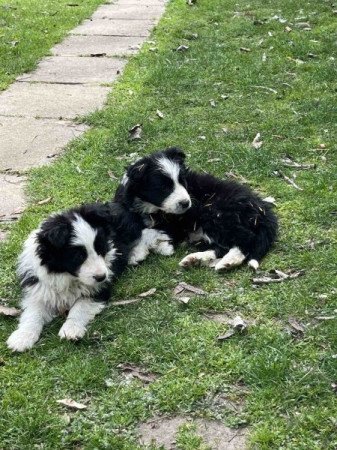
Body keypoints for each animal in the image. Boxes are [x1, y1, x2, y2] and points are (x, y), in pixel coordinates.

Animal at [6, 202, 142, 354]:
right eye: (78, 256)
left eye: (100, 249)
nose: (101, 277)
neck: (67, 276)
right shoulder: (39, 288)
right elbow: (33, 313)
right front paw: (21, 338)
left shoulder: (100, 289)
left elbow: (80, 306)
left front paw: (71, 329)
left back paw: (138, 254)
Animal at [114, 149, 276, 270]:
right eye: (163, 188)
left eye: (182, 181)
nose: (186, 203)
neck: (150, 206)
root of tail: (262, 209)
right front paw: (139, 252)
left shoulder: (175, 225)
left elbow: (146, 231)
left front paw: (154, 248)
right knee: (222, 246)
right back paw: (195, 259)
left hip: (217, 214)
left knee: (246, 239)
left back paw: (228, 262)